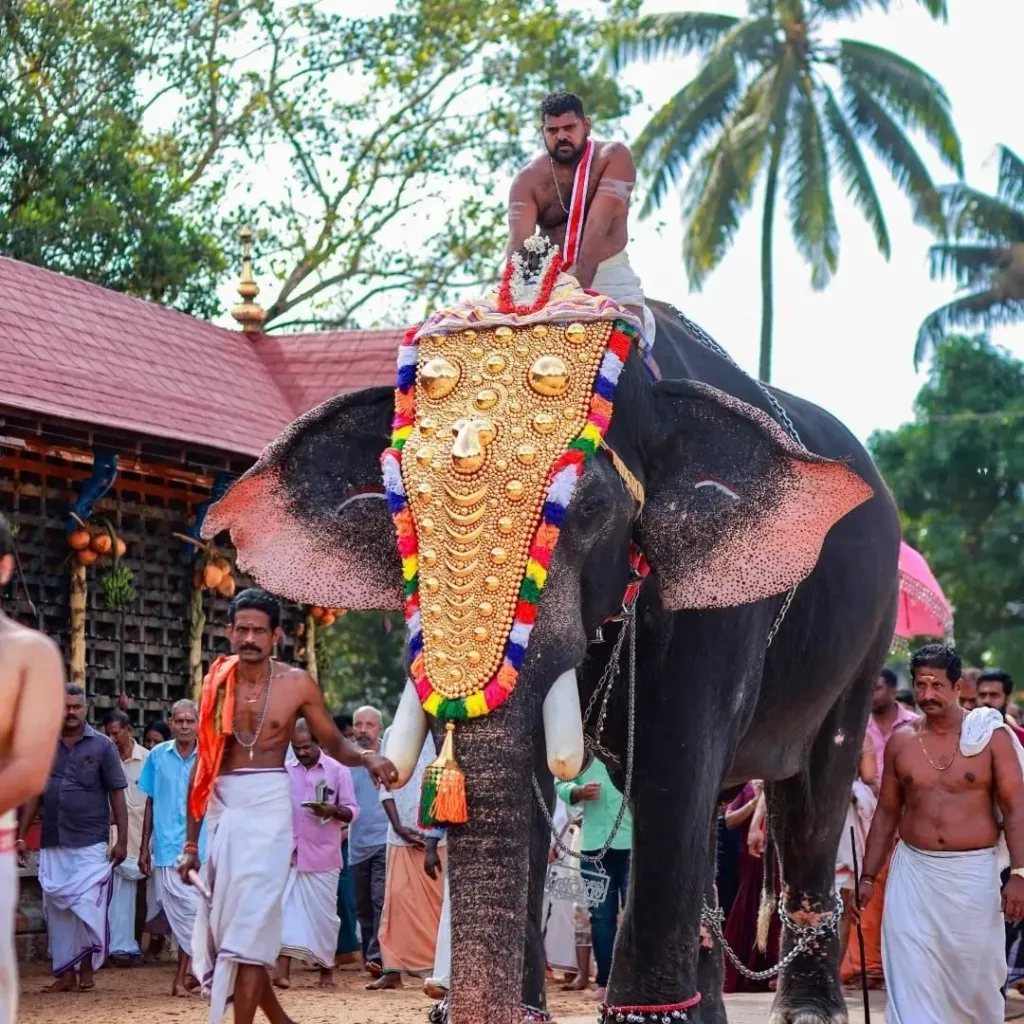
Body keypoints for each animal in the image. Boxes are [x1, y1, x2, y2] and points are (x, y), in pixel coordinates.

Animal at [205, 258, 897, 1024]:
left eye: (591, 510)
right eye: (396, 506)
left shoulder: (717, 608)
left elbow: (674, 762)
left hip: (870, 631)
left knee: (811, 793)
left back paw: (806, 1008)